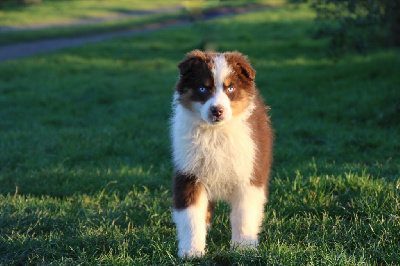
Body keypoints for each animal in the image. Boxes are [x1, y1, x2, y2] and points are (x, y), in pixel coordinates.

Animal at [170, 50, 274, 258]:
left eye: (230, 88)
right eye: (202, 88)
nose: (216, 110)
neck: (216, 133)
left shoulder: (249, 173)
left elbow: (244, 214)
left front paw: (243, 248)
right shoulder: (188, 173)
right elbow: (190, 216)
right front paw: (192, 251)